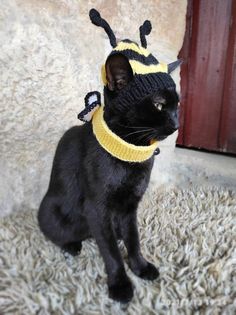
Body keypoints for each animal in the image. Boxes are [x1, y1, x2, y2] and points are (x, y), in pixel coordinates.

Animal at [38, 53, 179, 304]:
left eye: (177, 105)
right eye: (159, 104)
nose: (176, 125)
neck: (130, 153)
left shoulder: (130, 206)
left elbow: (133, 240)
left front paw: (140, 267)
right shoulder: (97, 209)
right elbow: (112, 253)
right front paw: (120, 285)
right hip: (55, 215)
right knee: (55, 232)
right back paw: (72, 246)